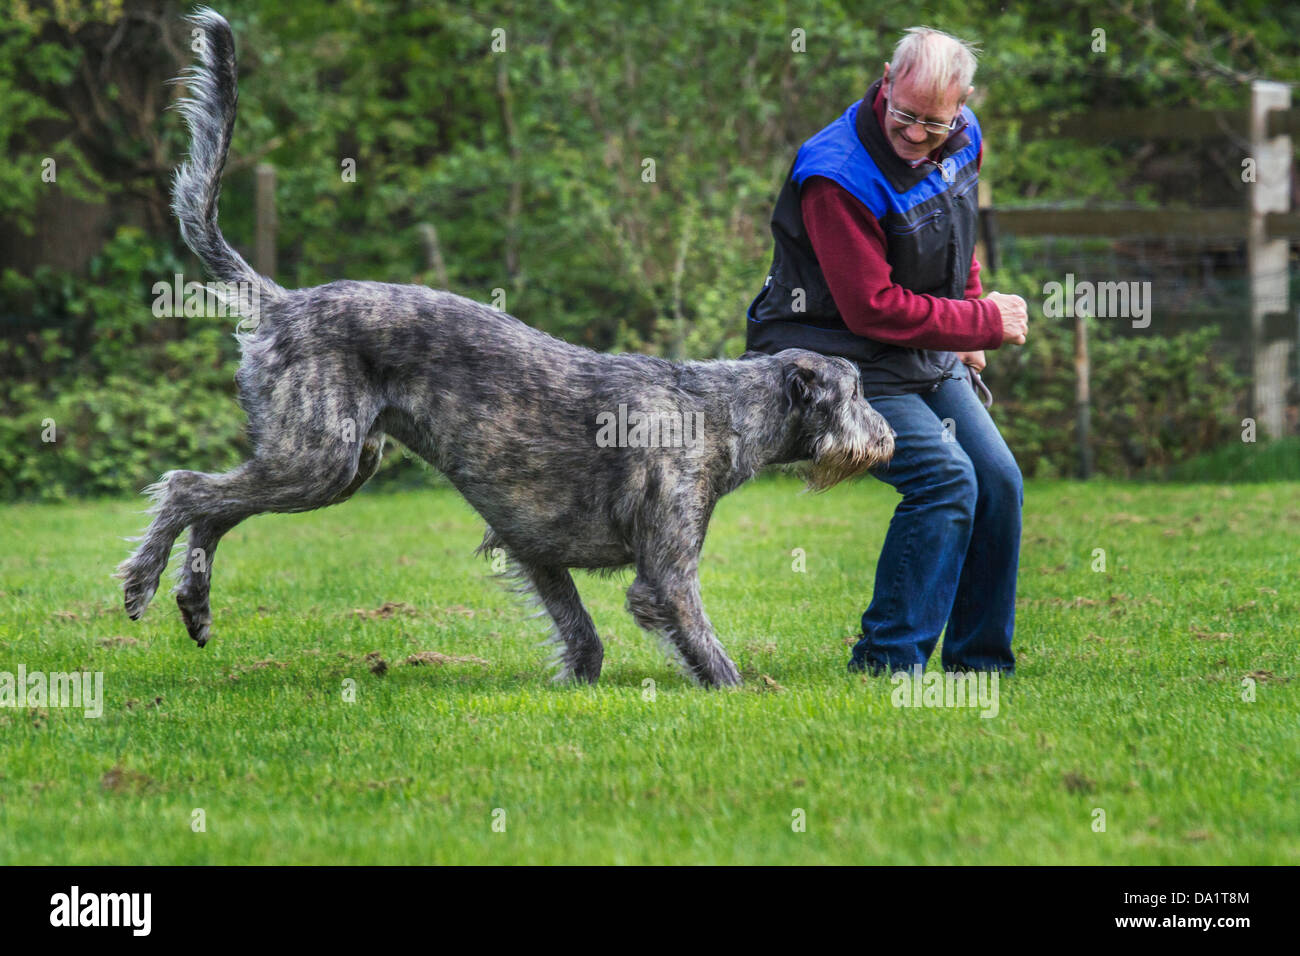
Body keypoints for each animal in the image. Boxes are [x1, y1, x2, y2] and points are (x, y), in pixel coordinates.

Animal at [119, 5, 894, 681]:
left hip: (340, 465)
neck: (721, 407)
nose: (887, 440)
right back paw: (143, 582)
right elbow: (707, 652)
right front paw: (743, 694)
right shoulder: (665, 574)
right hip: (315, 458)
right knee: (187, 489)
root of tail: (282, 302)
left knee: (216, 509)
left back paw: (193, 602)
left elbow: (583, 638)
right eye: (855, 392)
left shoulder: (534, 545)